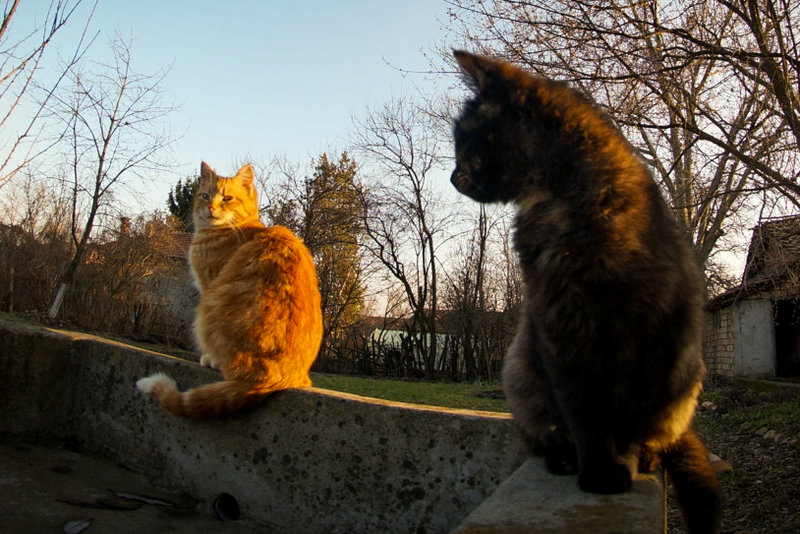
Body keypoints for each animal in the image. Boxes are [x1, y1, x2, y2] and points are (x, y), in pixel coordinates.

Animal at [137, 162, 323, 418]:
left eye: (227, 198)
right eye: (205, 196)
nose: (211, 207)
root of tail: (275, 379)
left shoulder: (208, 284)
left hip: (207, 310)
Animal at [450, 50, 720, 534]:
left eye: (466, 143)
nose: (452, 176)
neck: (563, 204)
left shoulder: (653, 333)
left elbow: (628, 417)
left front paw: (621, 467)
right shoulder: (561, 328)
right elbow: (583, 411)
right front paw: (596, 469)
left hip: (685, 374)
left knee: (660, 433)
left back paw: (648, 457)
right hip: (520, 368)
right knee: (542, 431)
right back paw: (562, 457)